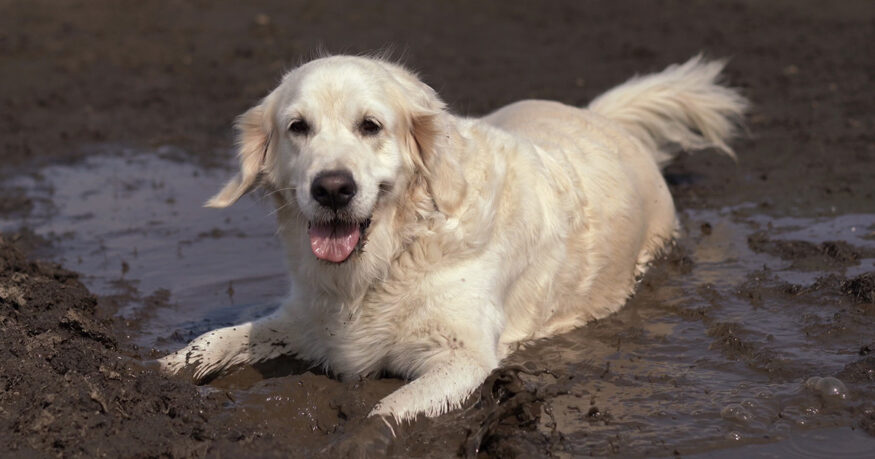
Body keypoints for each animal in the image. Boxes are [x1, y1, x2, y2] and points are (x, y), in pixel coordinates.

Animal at [157, 52, 744, 422]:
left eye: (371, 126)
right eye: (297, 127)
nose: (332, 189)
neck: (394, 252)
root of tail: (602, 117)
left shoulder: (462, 357)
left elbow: (387, 410)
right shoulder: (308, 320)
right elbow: (214, 340)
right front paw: (156, 371)